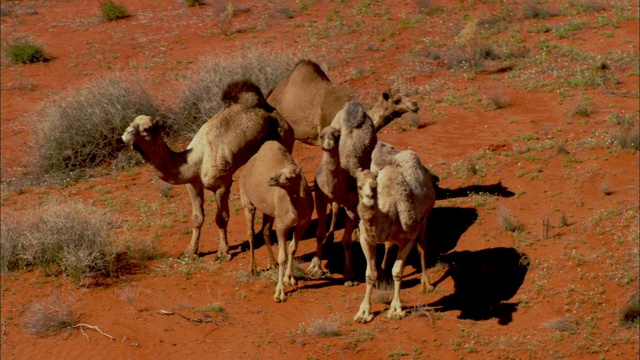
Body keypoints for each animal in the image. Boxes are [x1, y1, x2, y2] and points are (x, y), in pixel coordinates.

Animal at [121, 79, 294, 258]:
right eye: (130, 124)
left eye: (146, 129)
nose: (126, 134)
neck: (194, 161)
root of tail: (275, 112)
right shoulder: (192, 184)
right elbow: (197, 218)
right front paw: (190, 251)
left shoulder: (222, 184)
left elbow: (221, 218)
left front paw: (223, 252)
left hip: (285, 138)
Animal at [239, 139, 314, 302]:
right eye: (279, 171)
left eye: (290, 176)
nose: (271, 179)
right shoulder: (282, 226)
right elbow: (283, 256)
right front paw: (279, 293)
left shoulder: (303, 224)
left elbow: (292, 248)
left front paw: (289, 278)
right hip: (247, 201)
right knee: (251, 232)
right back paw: (253, 269)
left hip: (269, 211)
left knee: (266, 231)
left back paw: (272, 263)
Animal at [352, 141, 438, 324]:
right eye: (358, 186)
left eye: (375, 186)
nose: (368, 199)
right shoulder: (366, 239)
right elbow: (369, 274)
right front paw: (363, 312)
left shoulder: (408, 237)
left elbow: (398, 272)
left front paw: (396, 310)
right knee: (389, 244)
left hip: (425, 217)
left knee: (422, 246)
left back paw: (426, 284)